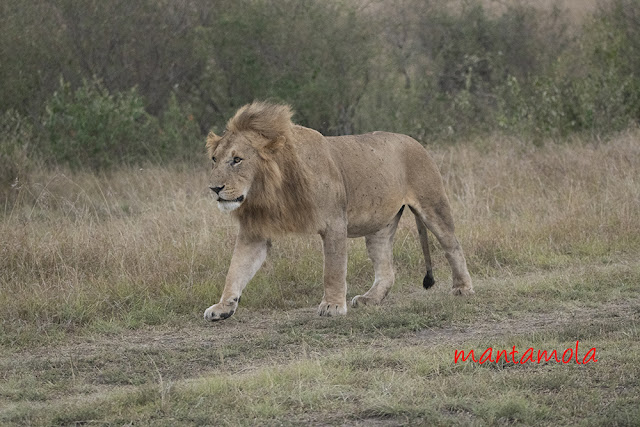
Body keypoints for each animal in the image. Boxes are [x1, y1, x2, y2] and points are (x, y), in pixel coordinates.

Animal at [202, 101, 472, 320]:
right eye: (214, 159)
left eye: (237, 160)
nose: (214, 188)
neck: (268, 191)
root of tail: (415, 141)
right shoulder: (255, 232)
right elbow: (236, 269)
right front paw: (223, 306)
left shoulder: (334, 223)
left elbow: (333, 269)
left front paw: (332, 306)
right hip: (379, 225)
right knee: (386, 268)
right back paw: (370, 299)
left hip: (433, 204)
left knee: (453, 245)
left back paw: (463, 288)